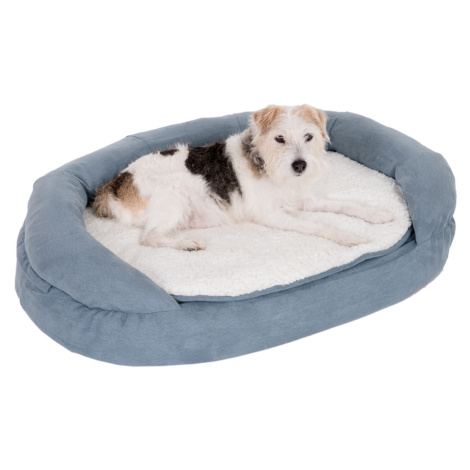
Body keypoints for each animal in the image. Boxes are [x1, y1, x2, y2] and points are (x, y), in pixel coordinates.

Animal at [92, 104, 393, 250]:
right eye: (279, 138)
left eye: (309, 136)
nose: (300, 165)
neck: (269, 166)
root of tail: (114, 185)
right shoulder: (273, 216)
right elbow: (318, 226)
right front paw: (348, 236)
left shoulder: (304, 198)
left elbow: (344, 204)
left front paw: (376, 214)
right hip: (173, 198)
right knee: (149, 238)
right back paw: (187, 243)